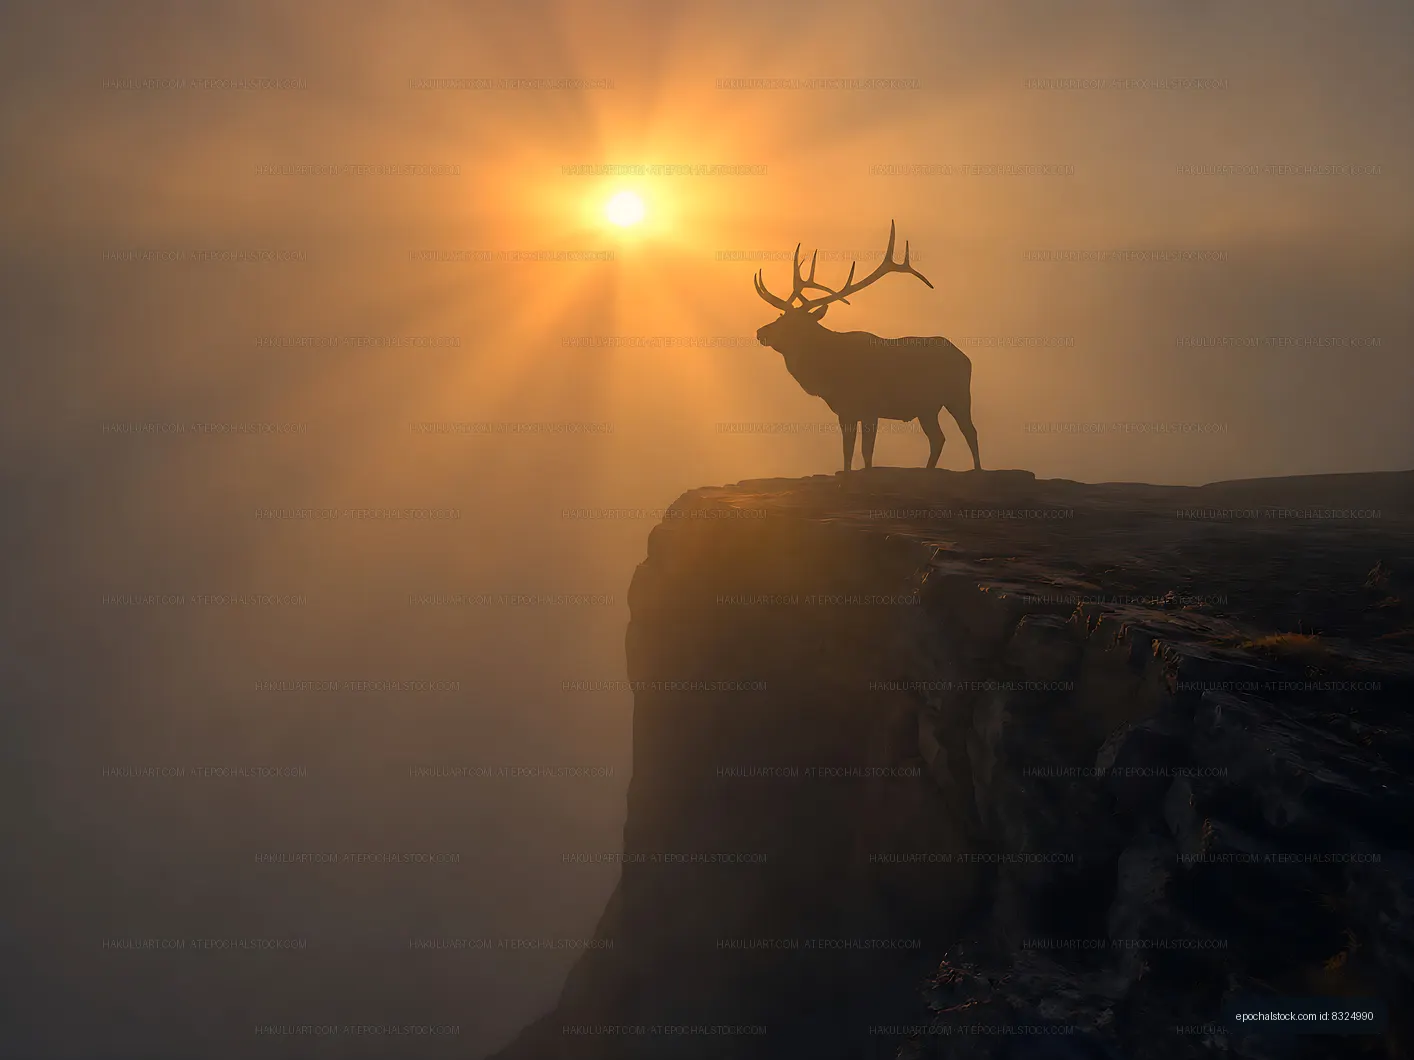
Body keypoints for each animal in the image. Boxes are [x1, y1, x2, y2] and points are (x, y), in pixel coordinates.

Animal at [753, 221, 981, 473]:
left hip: (958, 394)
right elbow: (847, 452)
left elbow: (866, 452)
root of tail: (965, 357)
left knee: (970, 431)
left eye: (793, 323)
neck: (828, 375)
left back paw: (978, 469)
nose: (760, 332)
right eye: (780, 316)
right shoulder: (845, 411)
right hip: (927, 408)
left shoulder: (871, 407)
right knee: (938, 438)